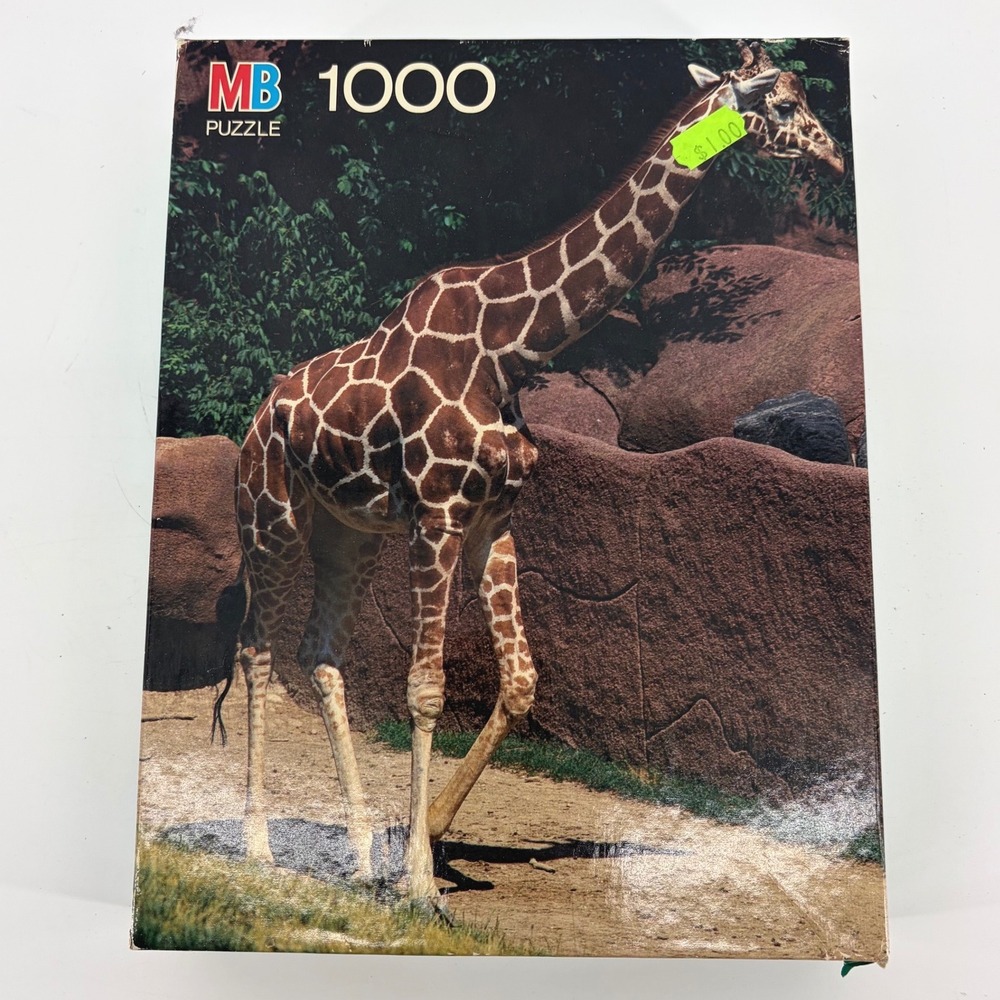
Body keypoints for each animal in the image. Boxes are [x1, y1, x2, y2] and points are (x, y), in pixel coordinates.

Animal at [223, 42, 844, 902]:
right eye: (781, 105)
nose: (836, 155)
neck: (510, 347)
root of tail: (257, 416)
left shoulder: (494, 518)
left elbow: (519, 682)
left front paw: (422, 836)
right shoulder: (438, 513)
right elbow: (426, 688)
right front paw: (420, 884)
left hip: (350, 532)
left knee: (320, 656)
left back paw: (358, 854)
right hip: (272, 516)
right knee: (255, 651)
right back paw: (257, 849)